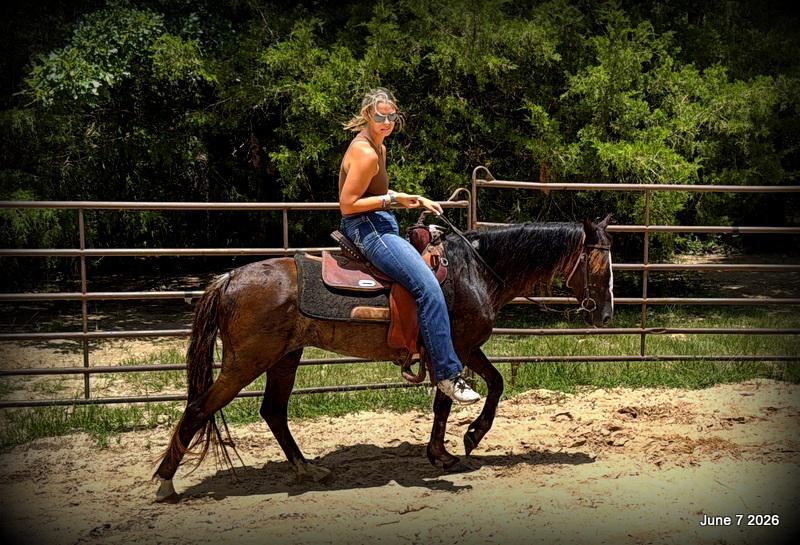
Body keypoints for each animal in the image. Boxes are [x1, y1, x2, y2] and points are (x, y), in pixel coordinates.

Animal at [153, 213, 614, 502]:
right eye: (600, 266)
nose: (606, 316)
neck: (476, 270)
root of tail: (229, 278)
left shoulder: (460, 347)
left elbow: (466, 394)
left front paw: (448, 449)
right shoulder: (459, 346)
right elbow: (467, 392)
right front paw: (465, 439)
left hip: (285, 356)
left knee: (273, 412)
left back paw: (307, 470)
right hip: (246, 361)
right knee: (199, 408)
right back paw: (164, 484)